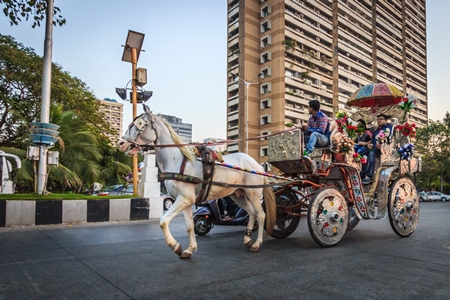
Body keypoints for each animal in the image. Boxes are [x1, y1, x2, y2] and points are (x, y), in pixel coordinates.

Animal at [118, 103, 276, 258]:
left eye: (139, 123)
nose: (120, 143)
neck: (177, 161)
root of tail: (257, 165)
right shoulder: (186, 200)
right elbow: (190, 226)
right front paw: (189, 249)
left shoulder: (184, 198)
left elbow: (163, 221)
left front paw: (175, 246)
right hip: (238, 194)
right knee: (252, 213)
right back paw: (248, 239)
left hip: (253, 194)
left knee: (261, 215)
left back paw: (257, 243)